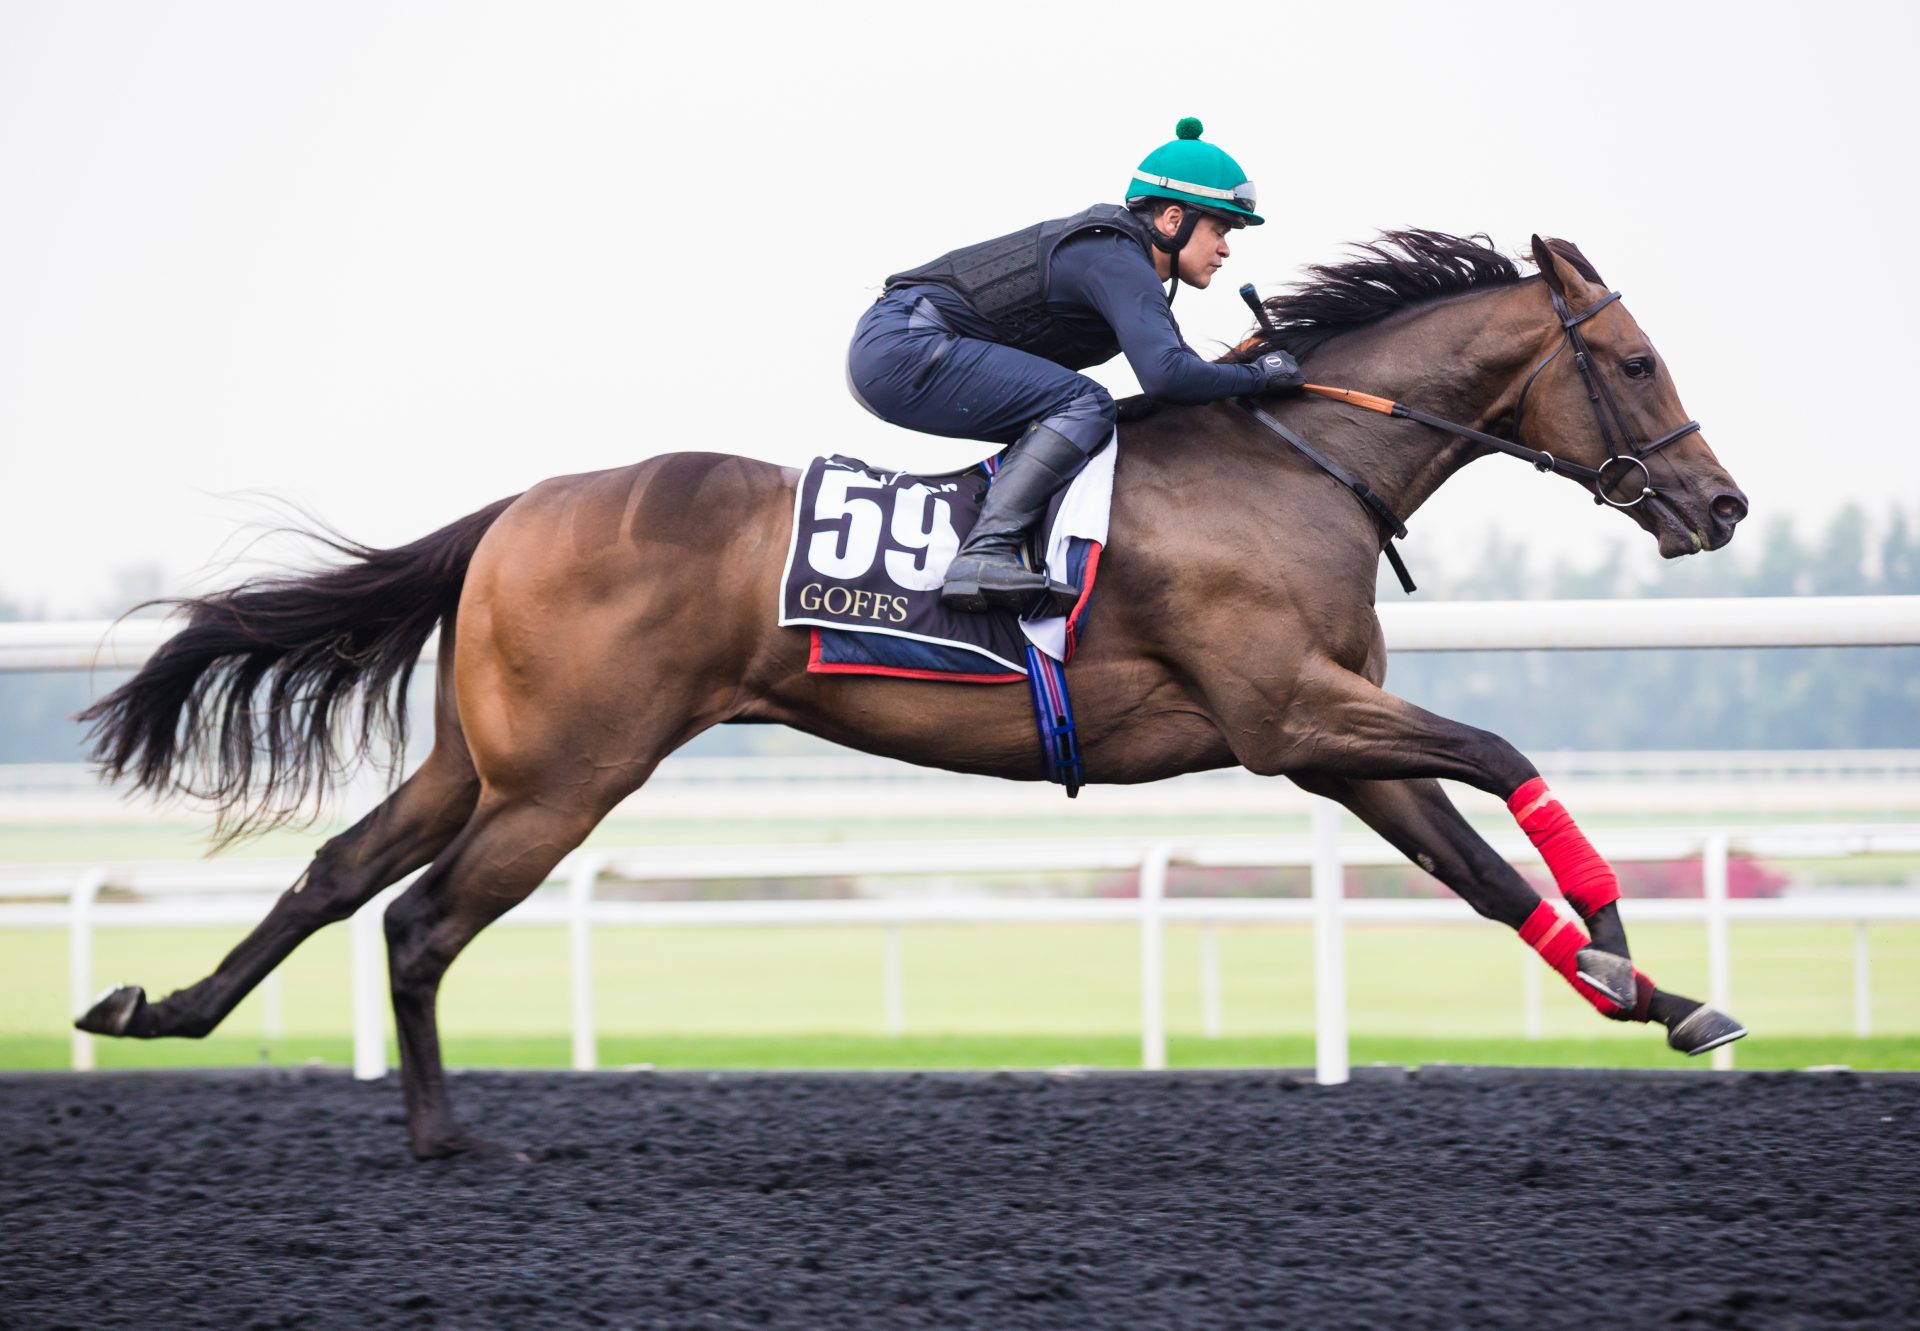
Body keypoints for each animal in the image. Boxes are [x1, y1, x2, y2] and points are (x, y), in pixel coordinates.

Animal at [78, 233, 1758, 1160]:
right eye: (1635, 358)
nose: (1723, 504)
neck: (1296, 460)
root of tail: (518, 509)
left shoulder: (1329, 742)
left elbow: (1474, 868)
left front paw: (1651, 989)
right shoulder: (1289, 715)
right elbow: (1503, 745)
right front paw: (1622, 932)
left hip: (479, 758)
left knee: (334, 874)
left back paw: (158, 1006)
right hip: (563, 778)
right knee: (420, 921)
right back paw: (446, 1135)